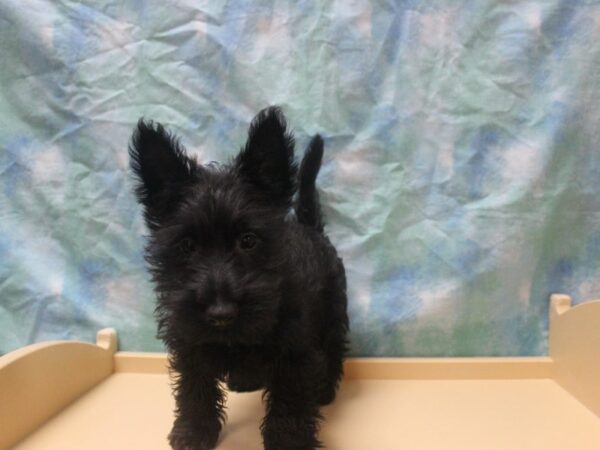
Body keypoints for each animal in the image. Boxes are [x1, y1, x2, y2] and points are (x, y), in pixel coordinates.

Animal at [129, 106, 350, 450]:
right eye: (187, 245)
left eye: (248, 240)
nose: (221, 314)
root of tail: (310, 227)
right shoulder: (190, 342)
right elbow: (195, 389)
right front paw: (193, 432)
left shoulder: (296, 350)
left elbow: (291, 400)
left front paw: (289, 441)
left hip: (333, 309)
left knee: (334, 346)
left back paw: (325, 389)